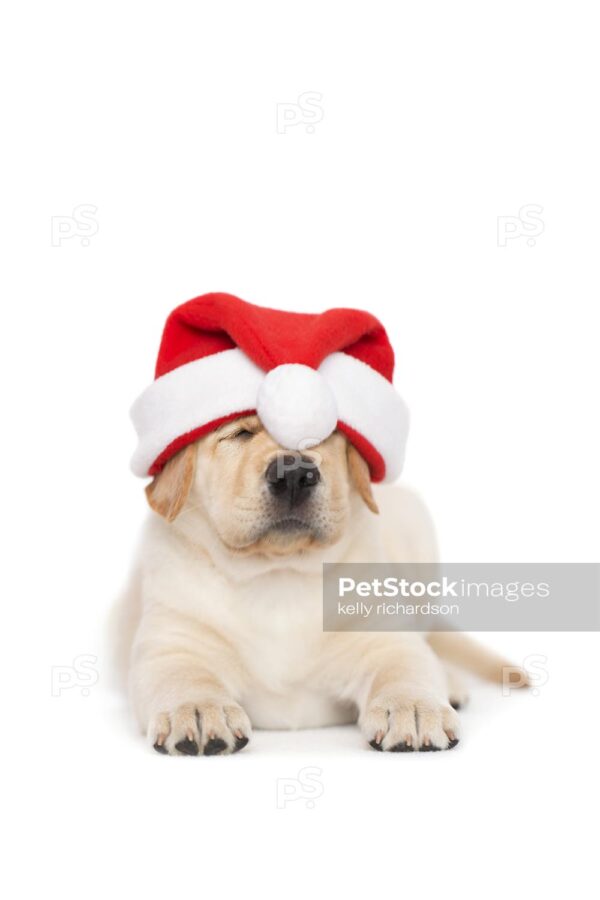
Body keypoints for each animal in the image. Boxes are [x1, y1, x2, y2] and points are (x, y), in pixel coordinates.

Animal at [118, 414, 524, 752]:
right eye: (241, 433)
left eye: (322, 435)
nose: (294, 475)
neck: (277, 573)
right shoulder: (173, 643)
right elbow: (183, 676)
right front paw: (198, 708)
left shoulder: (381, 636)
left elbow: (404, 665)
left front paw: (412, 706)